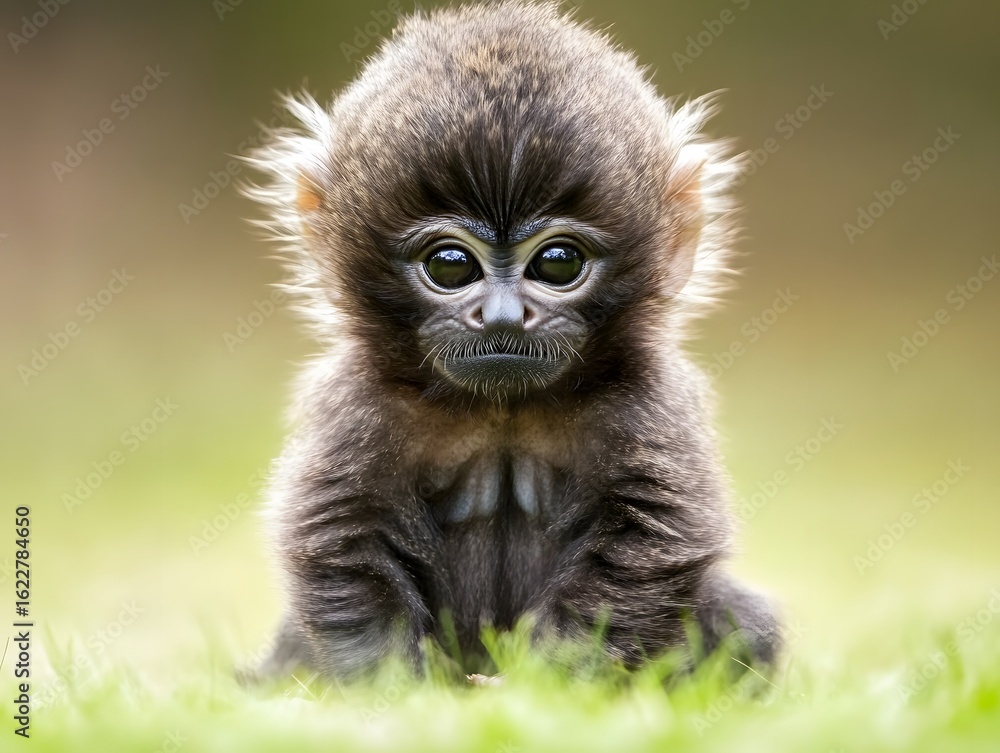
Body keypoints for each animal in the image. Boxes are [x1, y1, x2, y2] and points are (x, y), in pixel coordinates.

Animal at [243, 0, 781, 682]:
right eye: (450, 265)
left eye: (557, 262)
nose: (502, 317)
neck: (503, 411)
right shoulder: (355, 407)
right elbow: (342, 539)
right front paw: (395, 687)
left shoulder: (649, 408)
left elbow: (646, 542)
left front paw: (546, 680)